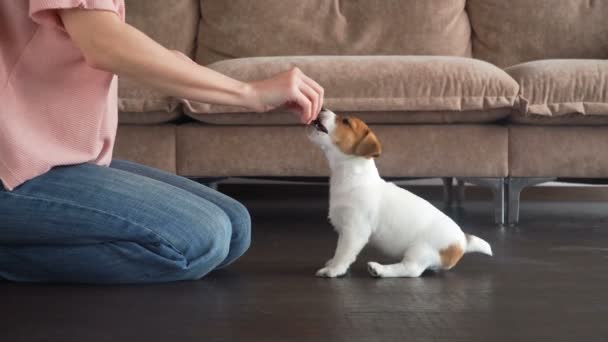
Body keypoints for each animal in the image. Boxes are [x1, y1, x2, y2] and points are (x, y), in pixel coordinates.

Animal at [306, 109, 492, 278]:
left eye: (345, 121)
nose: (322, 108)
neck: (352, 174)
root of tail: (462, 241)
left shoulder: (355, 230)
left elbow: (343, 252)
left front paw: (334, 269)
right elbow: (339, 250)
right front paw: (332, 262)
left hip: (420, 250)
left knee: (411, 270)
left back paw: (379, 269)